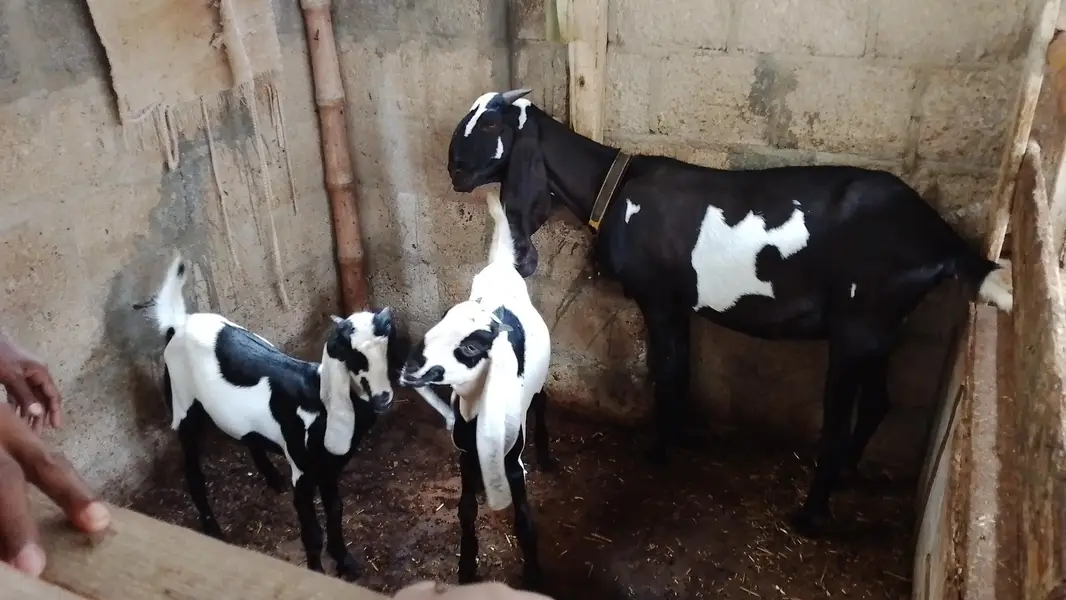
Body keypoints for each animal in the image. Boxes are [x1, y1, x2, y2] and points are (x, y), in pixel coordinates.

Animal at [135, 254, 395, 579]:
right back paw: (213, 528)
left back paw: (272, 478)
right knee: (192, 468)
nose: (383, 397)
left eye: (386, 348)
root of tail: (177, 326)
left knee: (249, 437)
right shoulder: (303, 470)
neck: (317, 399)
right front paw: (317, 571)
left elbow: (336, 510)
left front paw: (346, 562)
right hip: (183, 404)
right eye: (352, 354)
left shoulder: (328, 469)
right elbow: (312, 531)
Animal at [400, 189, 554, 589]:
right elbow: (465, 510)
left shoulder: (513, 463)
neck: (476, 409)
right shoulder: (466, 455)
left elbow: (524, 519)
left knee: (543, 400)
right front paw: (467, 567)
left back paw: (547, 455)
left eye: (471, 347)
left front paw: (534, 575)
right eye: (438, 325)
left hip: (540, 382)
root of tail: (501, 266)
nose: (410, 367)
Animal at [443, 88, 1014, 537]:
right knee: (878, 402)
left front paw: (658, 452)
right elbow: (682, 368)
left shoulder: (658, 297)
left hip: (859, 326)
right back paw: (849, 473)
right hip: (883, 327)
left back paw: (810, 516)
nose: (453, 168)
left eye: (489, 124)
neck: (616, 188)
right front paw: (684, 436)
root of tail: (942, 240)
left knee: (838, 419)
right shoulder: (680, 303)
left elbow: (665, 369)